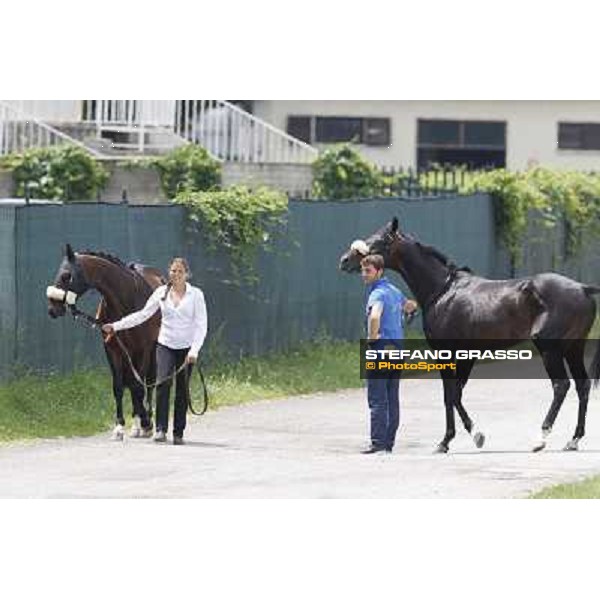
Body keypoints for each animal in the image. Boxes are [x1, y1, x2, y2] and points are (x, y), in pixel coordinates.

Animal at [47, 244, 165, 440]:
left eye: (66, 275)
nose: (52, 309)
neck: (127, 301)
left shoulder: (142, 350)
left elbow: (138, 387)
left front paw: (146, 423)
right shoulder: (113, 350)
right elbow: (119, 387)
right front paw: (119, 427)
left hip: (152, 351)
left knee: (149, 383)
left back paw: (144, 421)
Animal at [340, 218, 600, 452]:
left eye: (380, 241)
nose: (345, 260)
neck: (443, 290)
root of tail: (582, 288)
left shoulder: (447, 354)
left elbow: (451, 395)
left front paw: (459, 439)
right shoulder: (467, 356)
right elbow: (454, 394)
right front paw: (460, 438)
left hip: (550, 350)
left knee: (561, 386)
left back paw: (540, 439)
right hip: (573, 348)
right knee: (582, 385)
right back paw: (573, 440)